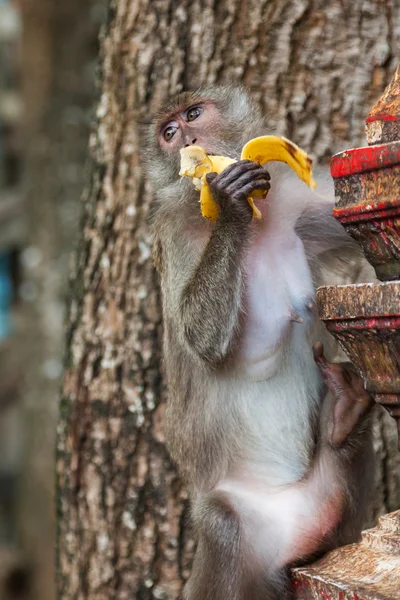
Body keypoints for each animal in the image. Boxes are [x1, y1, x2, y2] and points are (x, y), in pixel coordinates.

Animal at [145, 85, 374, 600]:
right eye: (168, 133)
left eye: (193, 114)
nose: (186, 138)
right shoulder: (173, 231)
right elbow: (199, 337)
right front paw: (228, 202)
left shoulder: (296, 207)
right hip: (242, 544)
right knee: (221, 524)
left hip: (336, 511)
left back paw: (344, 418)